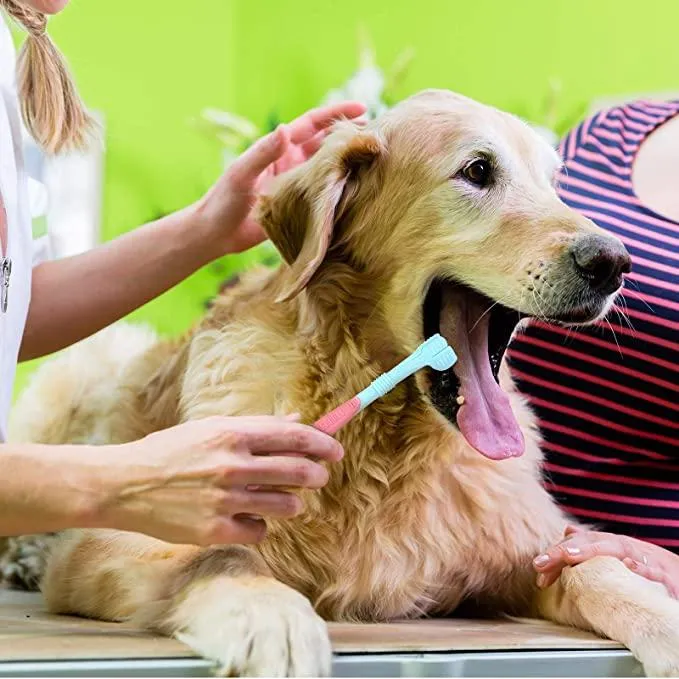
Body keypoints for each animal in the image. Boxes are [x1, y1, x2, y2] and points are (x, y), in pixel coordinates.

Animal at [9, 89, 679, 676]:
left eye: (554, 182)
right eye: (478, 170)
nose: (614, 262)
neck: (386, 436)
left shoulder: (529, 545)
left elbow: (597, 568)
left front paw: (662, 620)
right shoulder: (107, 540)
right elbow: (217, 552)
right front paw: (270, 618)